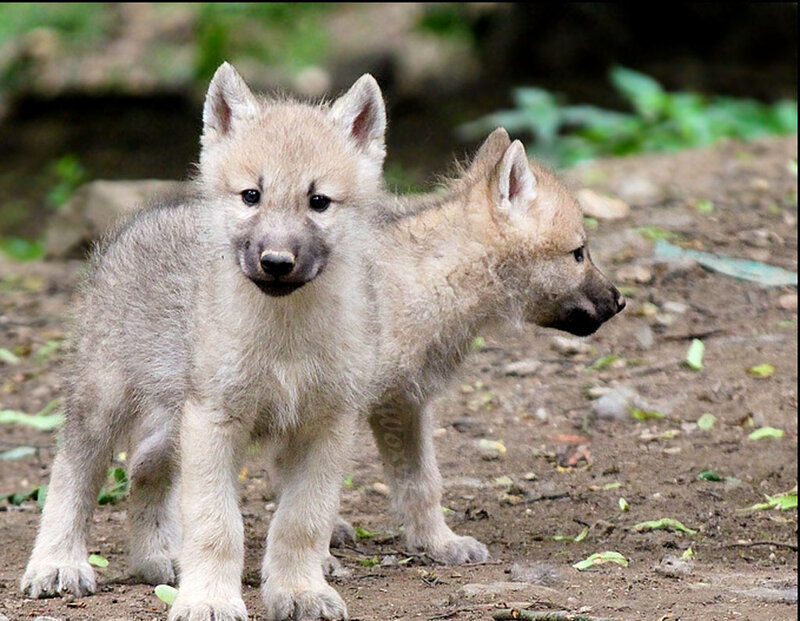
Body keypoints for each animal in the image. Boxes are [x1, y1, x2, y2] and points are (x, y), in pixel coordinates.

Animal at [21, 62, 388, 621]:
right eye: (251, 196)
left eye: (319, 201)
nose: (276, 262)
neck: (284, 334)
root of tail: (145, 216)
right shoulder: (214, 420)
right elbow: (217, 524)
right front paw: (210, 599)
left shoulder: (325, 426)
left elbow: (302, 522)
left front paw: (299, 591)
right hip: (103, 403)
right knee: (72, 476)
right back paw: (57, 563)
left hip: (173, 420)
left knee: (144, 470)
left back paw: (158, 557)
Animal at [334, 127, 625, 564]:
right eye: (578, 253)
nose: (621, 301)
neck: (429, 283)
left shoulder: (404, 403)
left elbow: (421, 484)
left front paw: (440, 544)